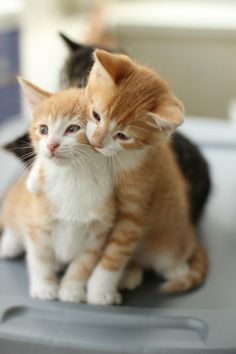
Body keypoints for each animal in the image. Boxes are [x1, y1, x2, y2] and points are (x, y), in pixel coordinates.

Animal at [83, 49, 208, 304]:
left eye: (123, 136)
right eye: (96, 115)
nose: (97, 142)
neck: (115, 160)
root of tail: (190, 232)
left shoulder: (135, 210)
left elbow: (116, 251)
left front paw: (99, 288)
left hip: (169, 243)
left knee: (168, 257)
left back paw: (177, 269)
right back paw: (131, 274)